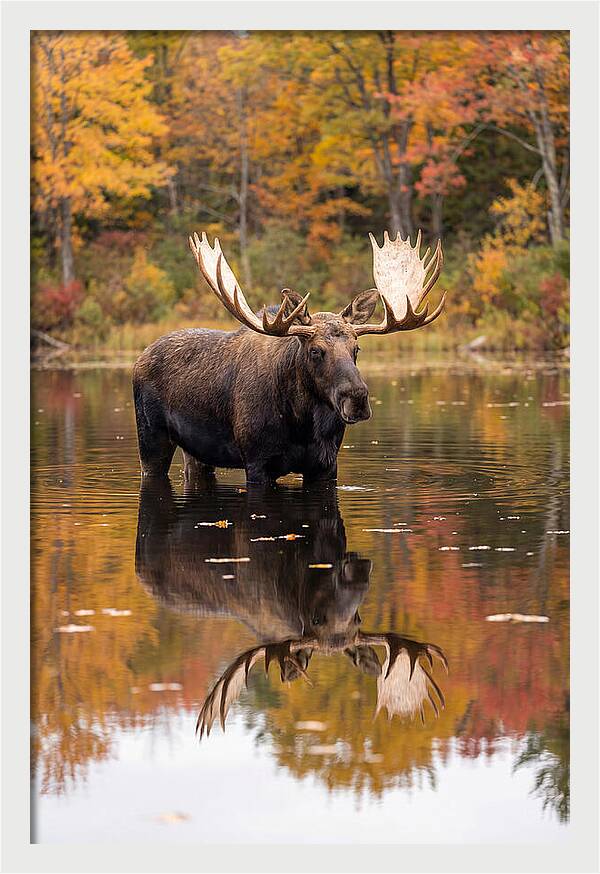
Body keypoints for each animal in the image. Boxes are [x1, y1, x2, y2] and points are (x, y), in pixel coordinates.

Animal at [132, 230, 445, 484]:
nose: (356, 398)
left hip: (196, 452)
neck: (302, 424)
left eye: (356, 349)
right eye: (315, 350)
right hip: (151, 439)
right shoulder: (257, 462)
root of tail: (140, 358)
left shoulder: (326, 465)